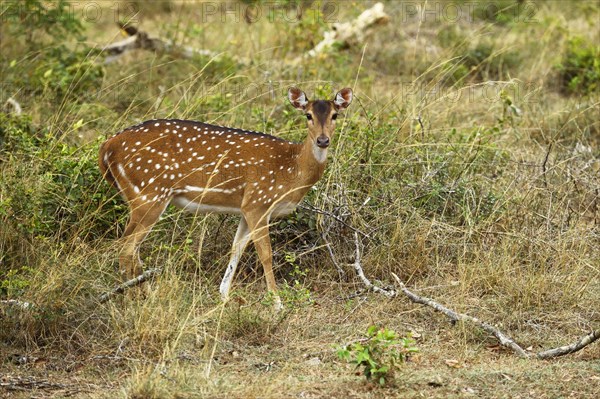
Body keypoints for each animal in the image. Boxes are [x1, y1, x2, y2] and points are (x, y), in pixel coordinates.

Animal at [98, 86, 352, 308]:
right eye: (308, 115)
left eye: (335, 115)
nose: (322, 140)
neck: (292, 170)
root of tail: (106, 147)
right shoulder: (258, 201)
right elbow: (266, 255)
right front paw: (277, 304)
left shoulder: (245, 208)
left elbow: (236, 248)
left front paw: (224, 296)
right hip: (149, 193)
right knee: (126, 248)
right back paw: (133, 299)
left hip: (139, 196)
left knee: (130, 247)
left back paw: (143, 294)